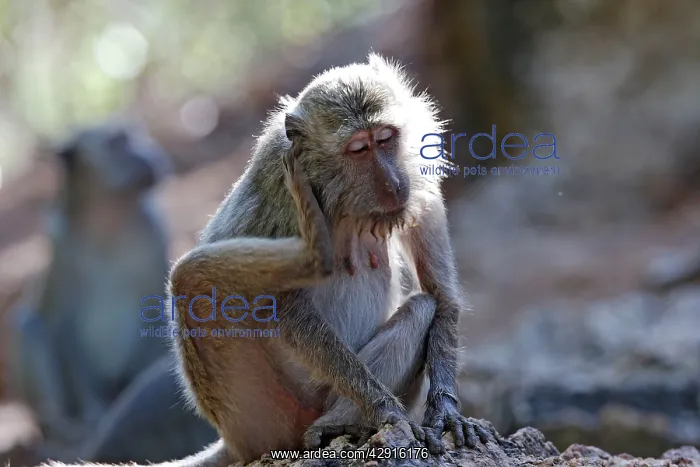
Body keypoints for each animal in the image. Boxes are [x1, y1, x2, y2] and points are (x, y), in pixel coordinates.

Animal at [6, 123, 172, 447]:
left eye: (138, 136)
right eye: (118, 143)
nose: (147, 152)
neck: (109, 219)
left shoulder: (154, 233)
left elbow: (154, 309)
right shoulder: (62, 247)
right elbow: (63, 324)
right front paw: (94, 413)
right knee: (31, 326)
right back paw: (61, 425)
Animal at [42, 54, 497, 467]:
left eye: (386, 138)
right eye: (358, 149)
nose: (392, 183)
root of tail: (234, 442)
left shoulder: (421, 178)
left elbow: (441, 295)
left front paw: (446, 412)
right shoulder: (281, 180)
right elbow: (283, 304)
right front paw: (384, 410)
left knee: (422, 307)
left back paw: (341, 421)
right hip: (259, 413)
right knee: (192, 277)